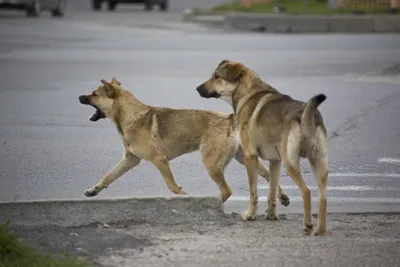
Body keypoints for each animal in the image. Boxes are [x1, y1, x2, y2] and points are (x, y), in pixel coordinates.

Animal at [79, 77, 290, 207]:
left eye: (94, 94)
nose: (80, 96)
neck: (131, 115)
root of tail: (230, 118)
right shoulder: (130, 160)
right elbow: (108, 176)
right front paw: (92, 190)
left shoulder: (160, 161)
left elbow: (173, 187)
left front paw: (187, 198)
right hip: (242, 158)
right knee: (269, 176)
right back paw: (283, 197)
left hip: (212, 164)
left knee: (227, 190)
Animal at [195, 61, 330, 237]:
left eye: (216, 76)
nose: (197, 88)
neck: (248, 93)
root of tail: (308, 115)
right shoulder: (275, 160)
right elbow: (271, 191)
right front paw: (271, 216)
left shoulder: (250, 156)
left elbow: (253, 192)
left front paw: (249, 215)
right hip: (319, 163)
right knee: (323, 197)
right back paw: (320, 229)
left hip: (291, 162)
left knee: (306, 191)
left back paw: (307, 225)